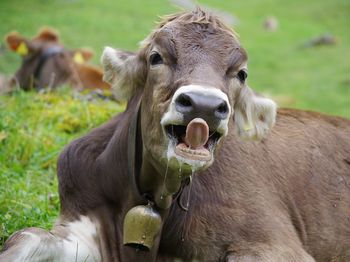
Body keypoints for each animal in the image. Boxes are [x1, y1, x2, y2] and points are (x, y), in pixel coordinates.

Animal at [0, 8, 350, 262]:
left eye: (241, 73)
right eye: (156, 57)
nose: (204, 105)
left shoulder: (271, 241)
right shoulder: (79, 223)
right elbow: (25, 237)